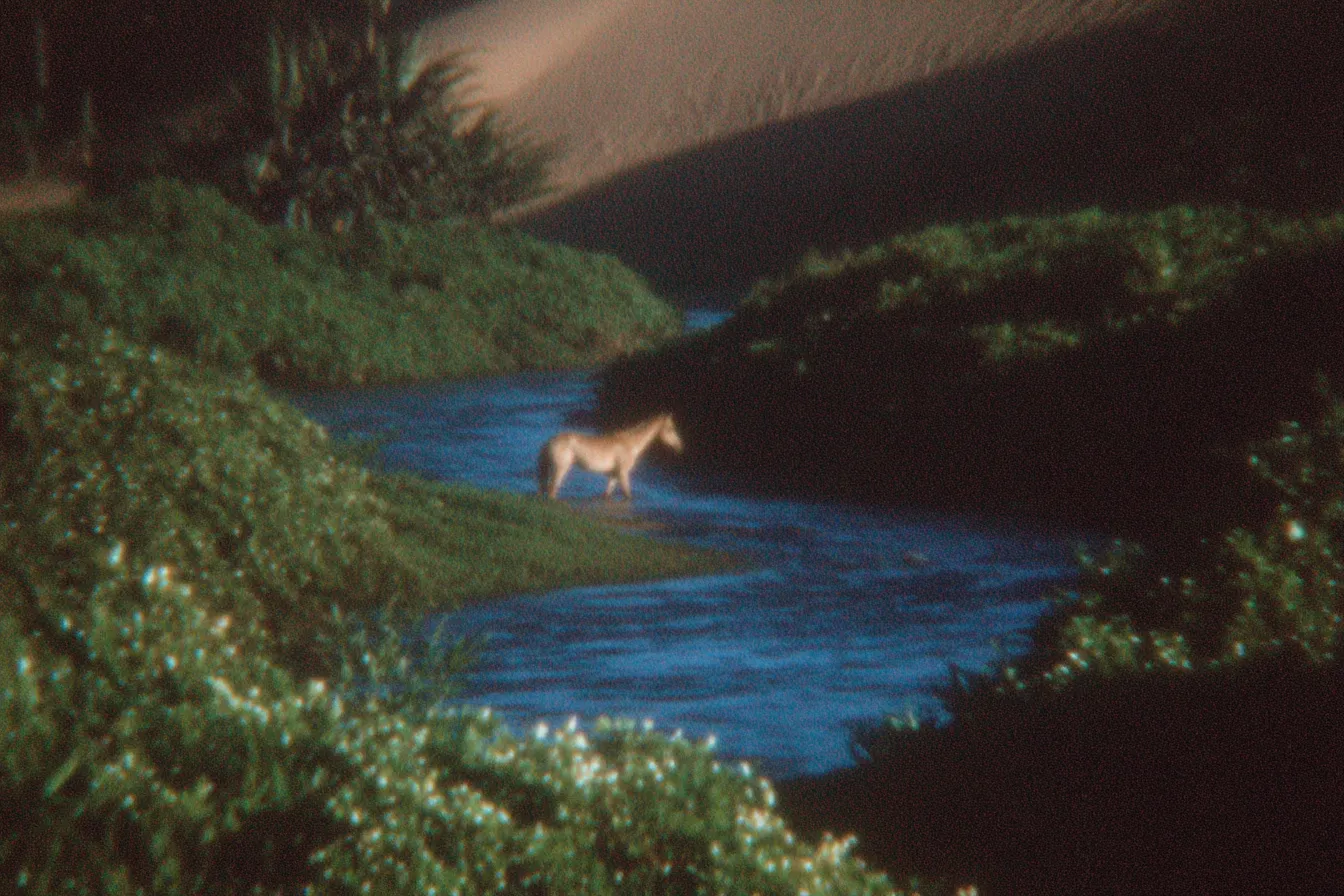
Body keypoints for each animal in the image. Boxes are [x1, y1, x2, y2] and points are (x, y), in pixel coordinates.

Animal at [537, 413, 683, 500]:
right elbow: (627, 494)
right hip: (561, 468)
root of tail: (550, 441)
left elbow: (607, 494)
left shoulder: (614, 475)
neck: (629, 444)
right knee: (552, 490)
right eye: (670, 429)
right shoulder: (623, 473)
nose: (679, 446)